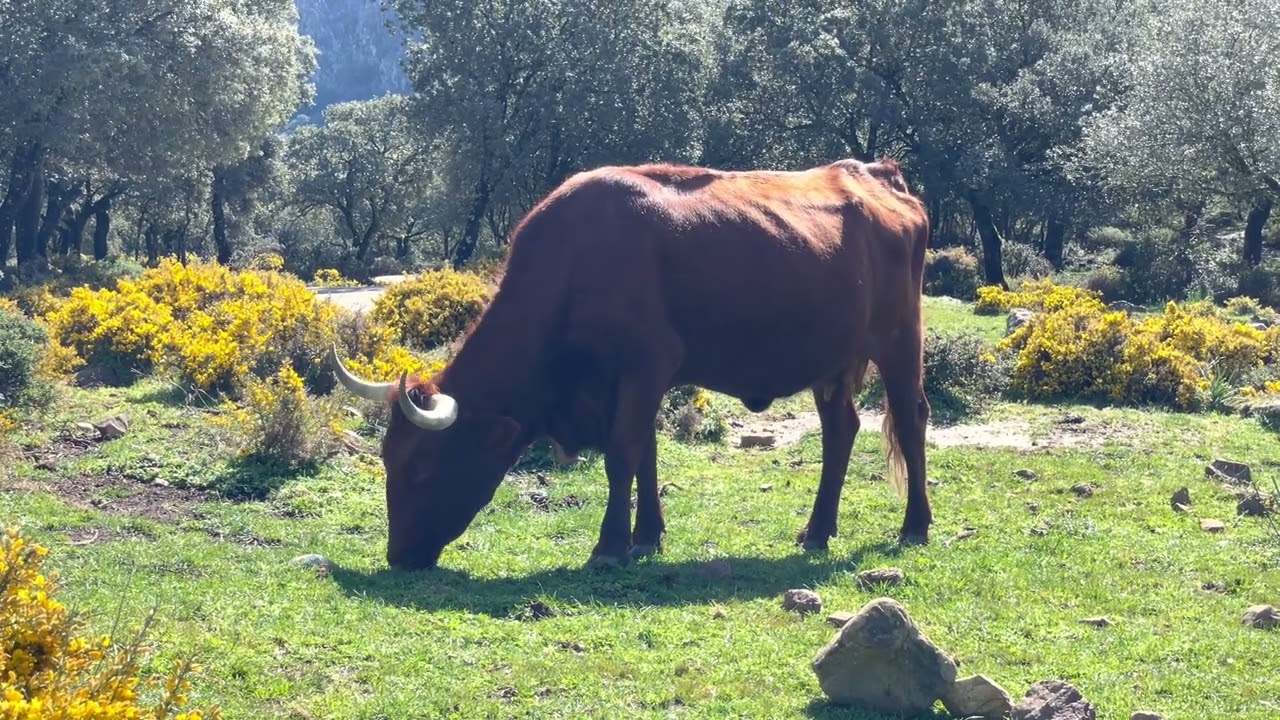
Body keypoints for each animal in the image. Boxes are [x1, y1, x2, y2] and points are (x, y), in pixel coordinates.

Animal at [329, 156, 933, 571]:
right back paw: (818, 530)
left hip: (899, 340)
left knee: (911, 417)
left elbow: (623, 454)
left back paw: (915, 527)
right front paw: (646, 536)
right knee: (840, 430)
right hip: (833, 361)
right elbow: (646, 453)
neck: (573, 263)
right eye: (388, 458)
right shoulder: (634, 383)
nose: (399, 555)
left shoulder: (646, 366)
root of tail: (876, 175)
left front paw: (611, 543)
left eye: (422, 465)